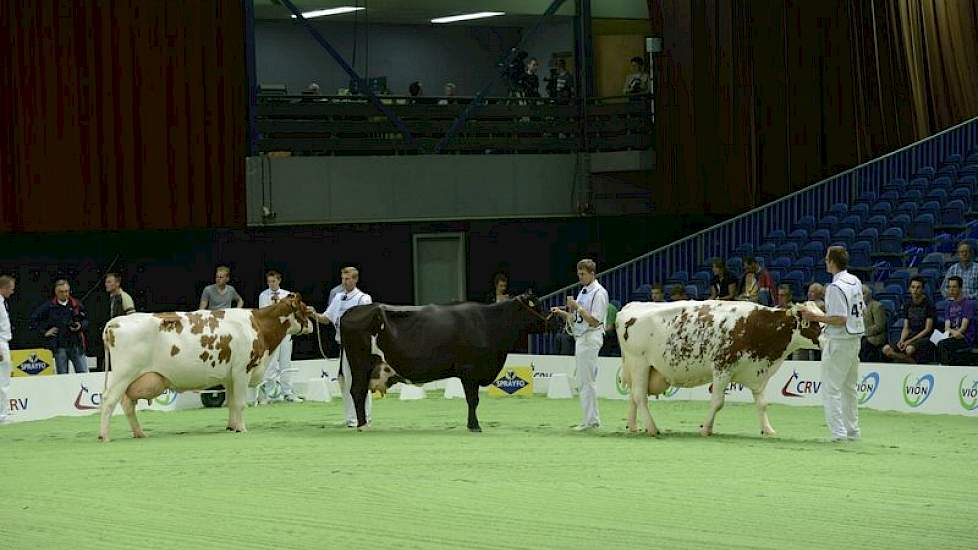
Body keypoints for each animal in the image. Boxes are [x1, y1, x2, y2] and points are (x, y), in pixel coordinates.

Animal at [97, 294, 310, 444]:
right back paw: (104, 436)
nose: (311, 323)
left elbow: (232, 403)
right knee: (109, 401)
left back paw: (139, 433)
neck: (257, 325)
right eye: (303, 307)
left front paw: (231, 427)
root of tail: (116, 321)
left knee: (127, 405)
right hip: (124, 374)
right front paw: (242, 428)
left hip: (131, 379)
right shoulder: (242, 370)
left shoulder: (229, 376)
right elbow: (241, 403)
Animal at [612, 302, 820, 440]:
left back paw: (633, 426)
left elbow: (762, 404)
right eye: (815, 323)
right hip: (639, 362)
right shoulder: (722, 368)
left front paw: (768, 430)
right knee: (639, 396)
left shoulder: (757, 372)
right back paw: (652, 428)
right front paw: (706, 429)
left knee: (633, 395)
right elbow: (717, 402)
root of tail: (631, 306)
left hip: (641, 368)